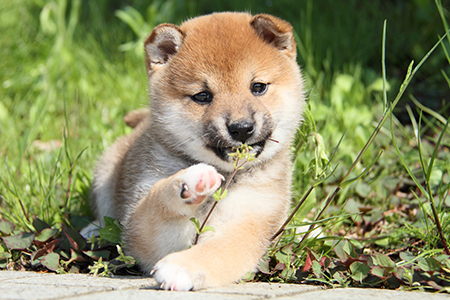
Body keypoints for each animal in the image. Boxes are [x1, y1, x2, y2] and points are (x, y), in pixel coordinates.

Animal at [82, 11, 304, 290]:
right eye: (202, 96)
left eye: (258, 87)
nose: (241, 128)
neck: (228, 178)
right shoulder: (144, 226)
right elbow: (156, 199)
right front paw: (190, 181)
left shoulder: (253, 220)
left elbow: (220, 250)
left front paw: (181, 266)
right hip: (106, 170)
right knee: (103, 211)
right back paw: (92, 229)